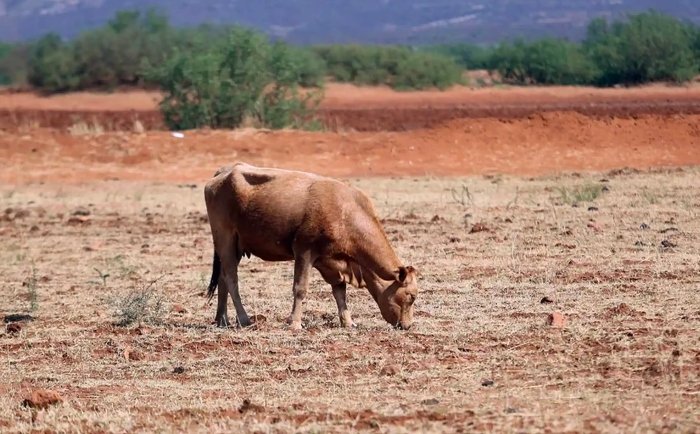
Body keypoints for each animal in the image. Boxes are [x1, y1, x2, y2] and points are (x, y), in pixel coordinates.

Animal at [205, 164, 418, 330]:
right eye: (411, 296)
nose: (407, 326)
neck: (345, 212)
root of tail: (224, 172)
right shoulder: (304, 251)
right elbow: (300, 288)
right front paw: (294, 323)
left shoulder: (329, 261)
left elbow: (339, 291)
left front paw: (348, 322)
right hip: (225, 238)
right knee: (232, 279)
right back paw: (244, 319)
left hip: (235, 247)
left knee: (223, 278)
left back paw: (222, 319)